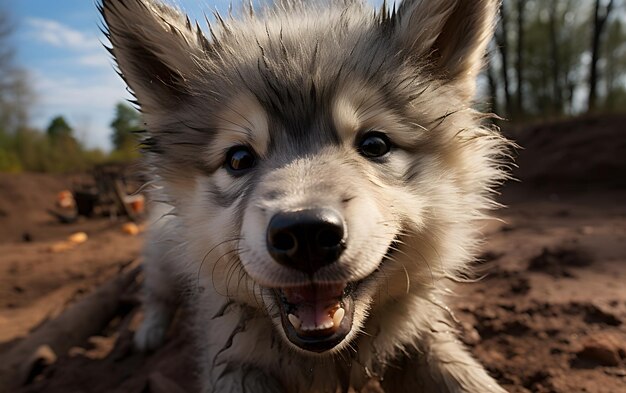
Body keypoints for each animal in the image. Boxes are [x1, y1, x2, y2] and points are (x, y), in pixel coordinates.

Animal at [101, 0, 508, 390]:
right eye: (238, 159)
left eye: (375, 145)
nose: (306, 234)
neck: (328, 359)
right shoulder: (230, 361)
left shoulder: (420, 335)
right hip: (163, 251)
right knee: (156, 290)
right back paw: (150, 330)